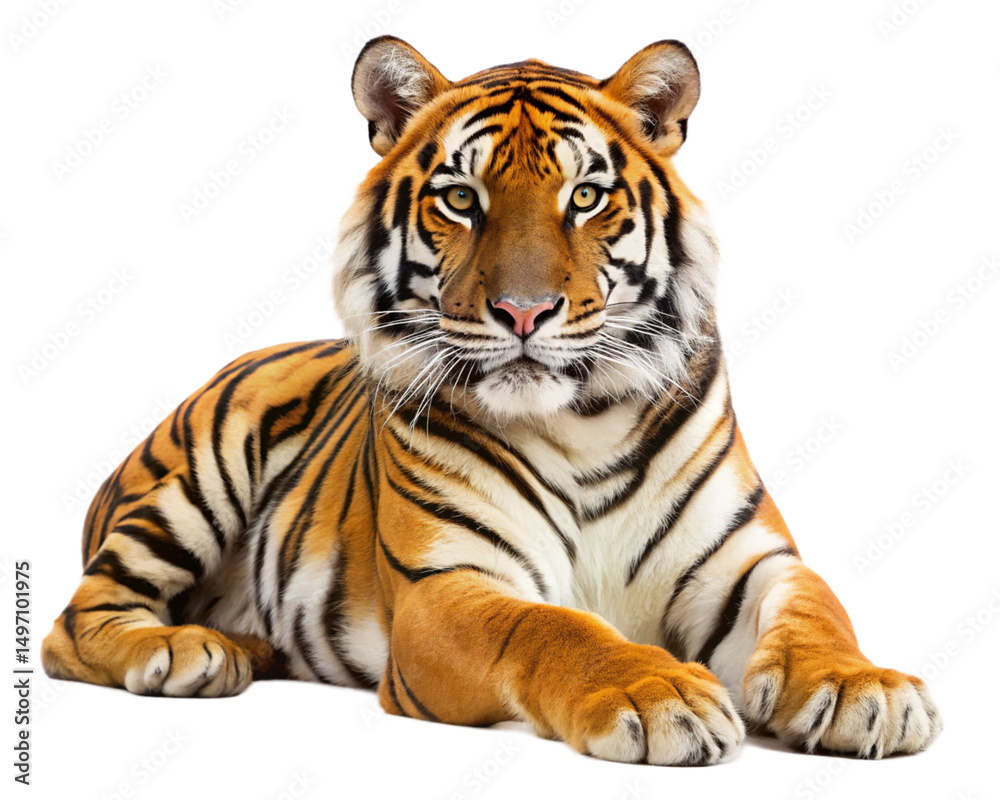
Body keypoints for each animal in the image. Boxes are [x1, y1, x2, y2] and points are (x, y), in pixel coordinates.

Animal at [42, 36, 941, 765]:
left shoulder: (747, 560)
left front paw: (864, 689)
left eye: (586, 197)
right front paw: (659, 694)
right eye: (461, 199)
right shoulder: (446, 583)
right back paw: (189, 654)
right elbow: (553, 625)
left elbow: (818, 608)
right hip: (197, 473)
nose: (523, 312)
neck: (586, 421)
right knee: (73, 623)